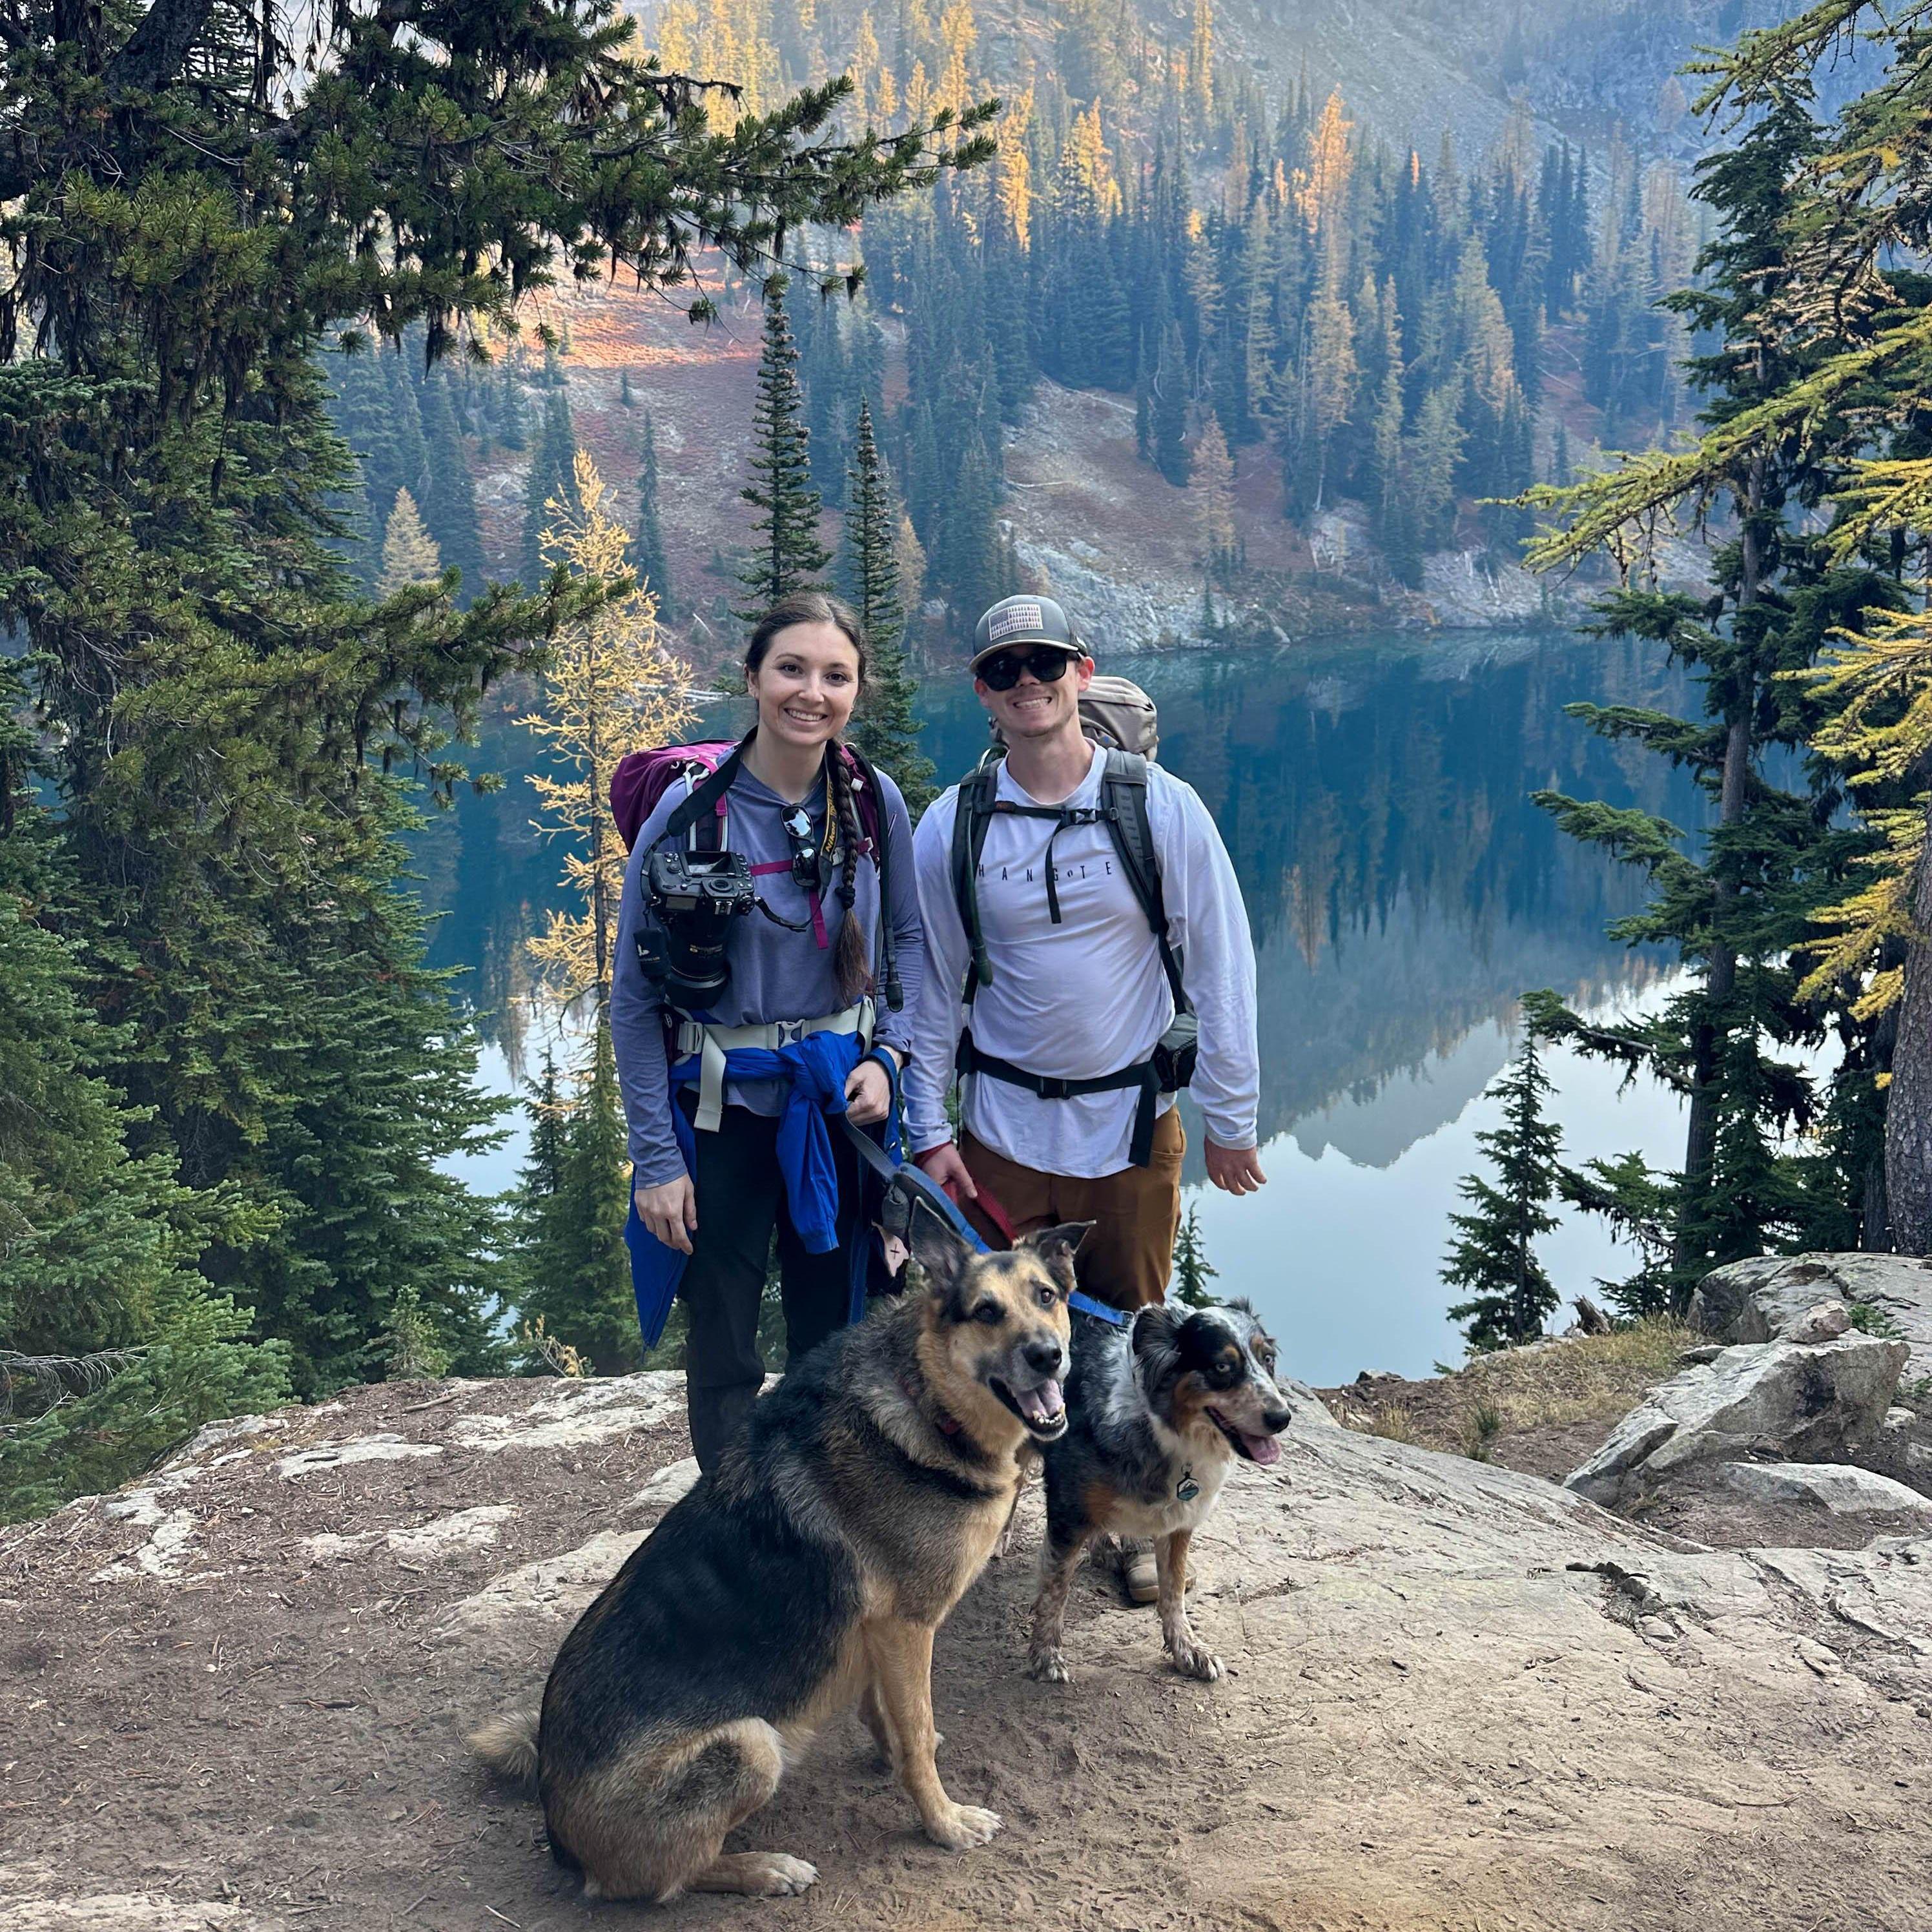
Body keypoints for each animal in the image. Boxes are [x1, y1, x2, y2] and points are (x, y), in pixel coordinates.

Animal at [468, 1213, 1089, 1909]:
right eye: (985, 1311)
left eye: (1046, 1297)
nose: (1047, 1356)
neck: (923, 1395)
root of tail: (557, 1828)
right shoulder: (907, 1627)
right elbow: (917, 1743)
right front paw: (945, 1823)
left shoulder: (878, 1635)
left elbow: (893, 1720)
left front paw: (896, 1754)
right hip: (752, 1744)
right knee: (667, 1880)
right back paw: (765, 1868)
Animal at [1027, 1306, 1298, 1685]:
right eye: (1222, 1367)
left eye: (1268, 1359)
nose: (1281, 1418)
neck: (1164, 1431)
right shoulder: (1068, 1508)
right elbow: (1056, 1587)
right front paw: (1046, 1656)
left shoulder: (1179, 1522)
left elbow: (1173, 1591)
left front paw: (1188, 1651)